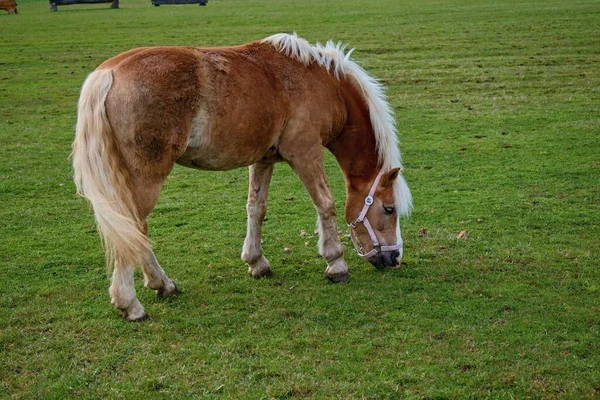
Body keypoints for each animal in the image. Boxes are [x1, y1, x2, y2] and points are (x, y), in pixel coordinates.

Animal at [72, 34, 412, 322]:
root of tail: (108, 73)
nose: (395, 257)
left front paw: (256, 262)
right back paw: (132, 302)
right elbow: (325, 205)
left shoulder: (263, 159)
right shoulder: (305, 153)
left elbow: (256, 208)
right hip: (146, 177)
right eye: (389, 209)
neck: (322, 82)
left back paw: (162, 285)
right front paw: (335, 264)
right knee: (132, 229)